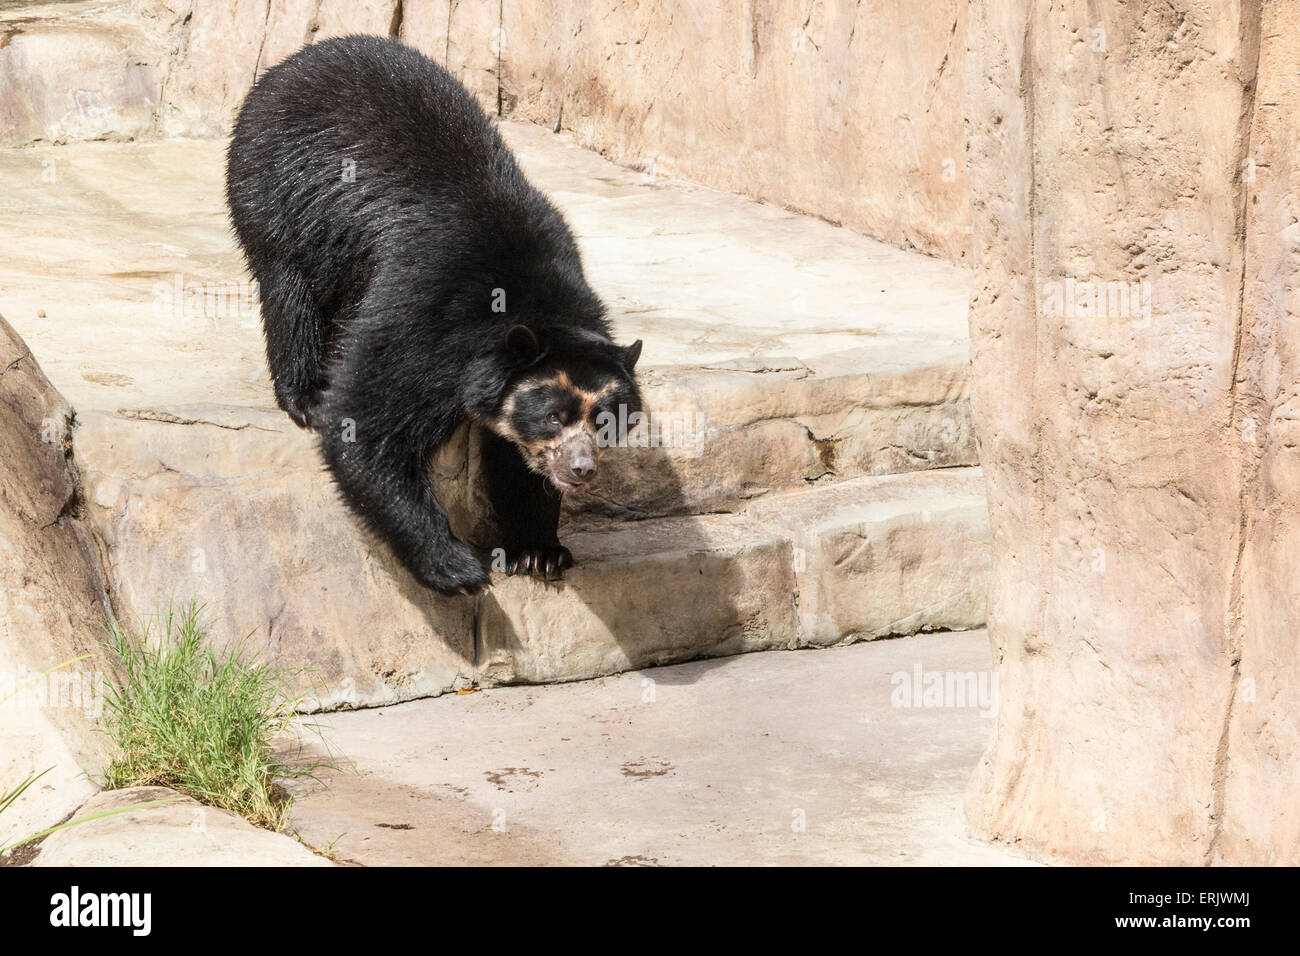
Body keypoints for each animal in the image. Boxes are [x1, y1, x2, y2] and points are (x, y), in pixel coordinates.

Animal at [231, 37, 647, 595]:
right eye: (553, 417)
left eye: (605, 420)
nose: (580, 469)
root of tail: (298, 60)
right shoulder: (427, 313)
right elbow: (369, 425)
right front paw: (457, 569)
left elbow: (513, 460)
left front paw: (540, 551)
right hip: (278, 192)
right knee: (290, 293)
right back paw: (306, 393)